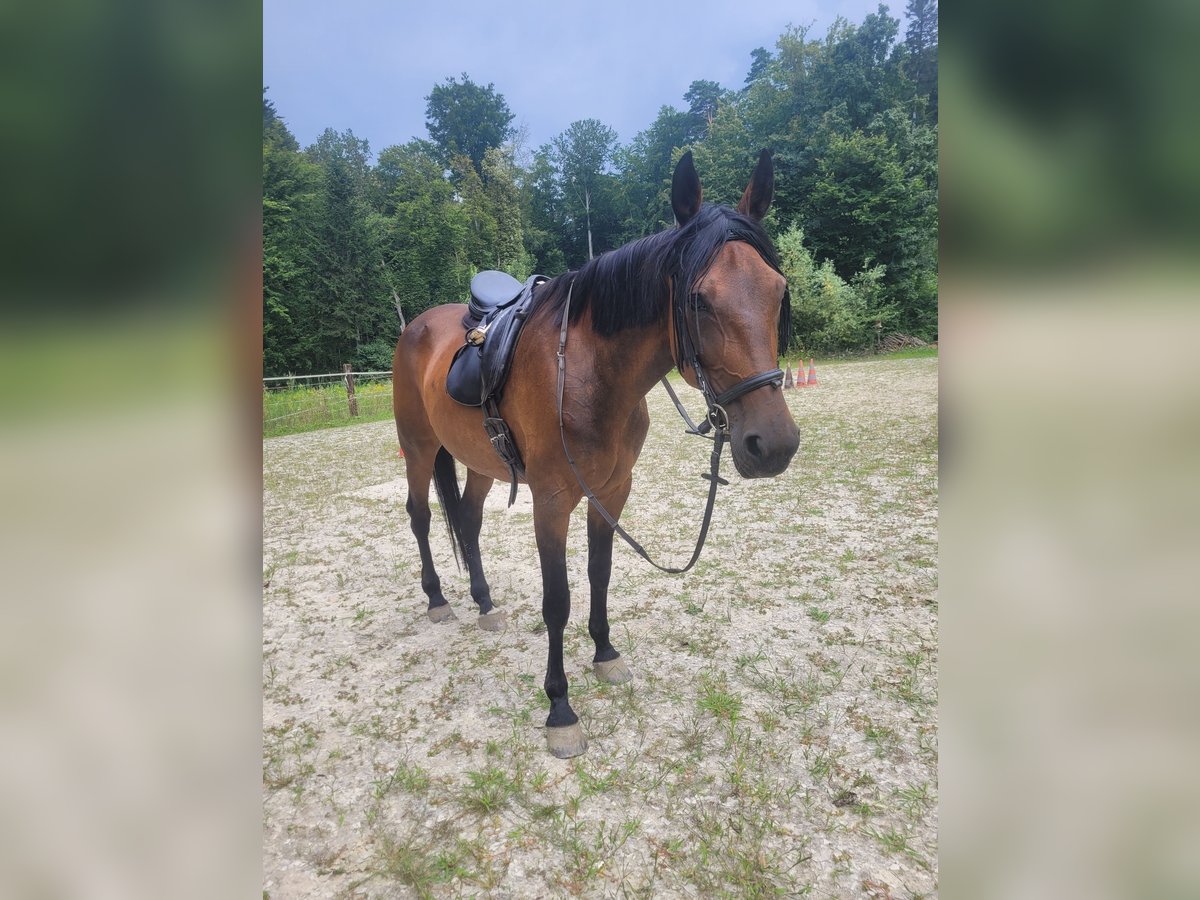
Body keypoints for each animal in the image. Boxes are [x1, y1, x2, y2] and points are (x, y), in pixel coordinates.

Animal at [393, 151, 801, 758]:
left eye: (777, 291)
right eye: (698, 299)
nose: (773, 444)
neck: (590, 374)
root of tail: (416, 326)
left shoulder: (611, 490)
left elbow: (600, 573)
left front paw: (605, 654)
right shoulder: (551, 502)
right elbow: (557, 599)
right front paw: (560, 708)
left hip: (481, 462)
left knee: (466, 518)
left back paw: (484, 604)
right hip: (419, 450)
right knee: (421, 516)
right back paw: (438, 599)